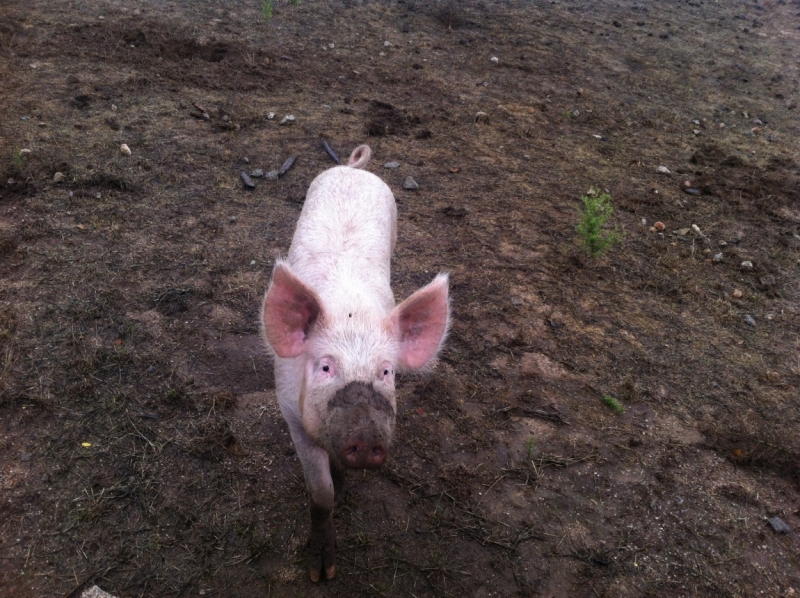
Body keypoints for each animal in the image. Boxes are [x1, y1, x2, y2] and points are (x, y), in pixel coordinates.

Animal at [262, 144, 450, 580]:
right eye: (325, 367)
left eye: (386, 371)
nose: (365, 438)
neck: (353, 314)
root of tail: (353, 168)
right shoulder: (290, 413)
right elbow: (320, 495)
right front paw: (321, 574)